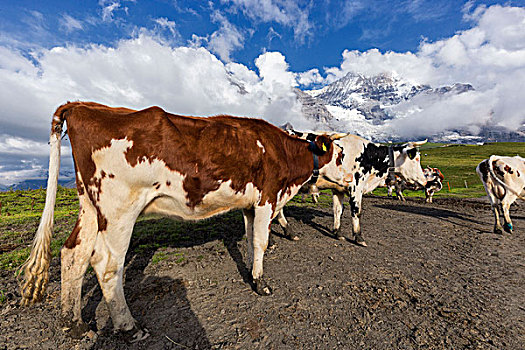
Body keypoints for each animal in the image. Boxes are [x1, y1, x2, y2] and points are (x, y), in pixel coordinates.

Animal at [19, 102, 348, 342]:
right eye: (341, 155)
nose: (352, 180)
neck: (282, 152)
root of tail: (83, 105)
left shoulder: (249, 204)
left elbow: (249, 235)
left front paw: (252, 271)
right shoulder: (267, 197)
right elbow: (260, 241)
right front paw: (260, 283)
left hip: (90, 205)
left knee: (73, 254)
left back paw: (72, 323)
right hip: (118, 208)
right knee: (106, 263)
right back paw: (129, 327)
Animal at [278, 133, 426, 247]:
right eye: (416, 159)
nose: (425, 181)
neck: (368, 156)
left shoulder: (338, 189)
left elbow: (338, 210)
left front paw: (338, 233)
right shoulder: (356, 188)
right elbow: (356, 212)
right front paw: (358, 237)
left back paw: (289, 232)